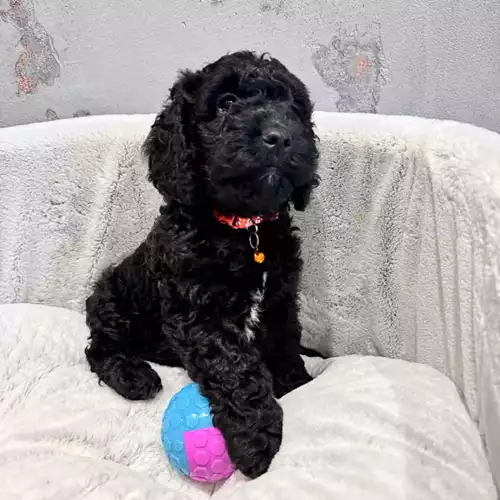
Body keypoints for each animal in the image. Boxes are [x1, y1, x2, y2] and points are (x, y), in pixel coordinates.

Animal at [85, 51, 320, 480]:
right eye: (225, 104)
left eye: (293, 107)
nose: (279, 135)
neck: (244, 229)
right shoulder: (198, 314)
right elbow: (237, 370)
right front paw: (258, 441)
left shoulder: (280, 297)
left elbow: (283, 341)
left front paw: (296, 382)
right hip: (112, 302)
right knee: (99, 348)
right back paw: (134, 377)